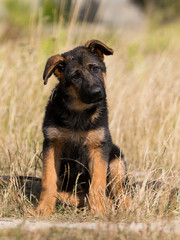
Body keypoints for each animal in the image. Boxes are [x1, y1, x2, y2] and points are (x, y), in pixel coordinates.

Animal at [32, 39, 131, 216]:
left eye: (95, 68)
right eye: (75, 76)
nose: (97, 92)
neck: (79, 111)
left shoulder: (99, 147)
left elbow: (97, 183)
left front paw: (99, 209)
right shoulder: (52, 144)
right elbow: (48, 182)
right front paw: (43, 209)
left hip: (116, 159)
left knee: (120, 190)